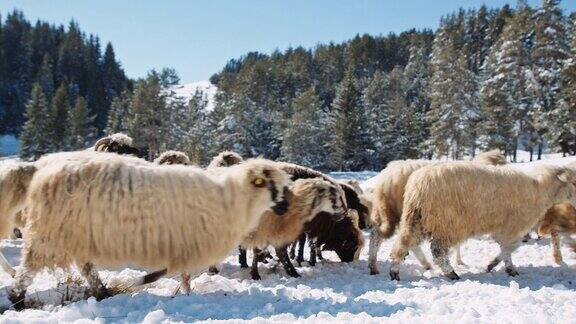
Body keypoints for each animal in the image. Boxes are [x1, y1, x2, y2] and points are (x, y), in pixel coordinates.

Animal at [6, 151, 290, 308]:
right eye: (270, 184)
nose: (286, 207)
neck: (232, 198)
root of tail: (40, 167)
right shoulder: (187, 243)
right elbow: (172, 273)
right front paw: (141, 283)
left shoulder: (183, 244)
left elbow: (174, 273)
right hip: (50, 233)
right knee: (28, 267)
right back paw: (17, 299)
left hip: (76, 233)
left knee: (86, 268)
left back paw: (102, 292)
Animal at [366, 149, 506, 274]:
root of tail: (388, 176)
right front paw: (457, 260)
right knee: (404, 241)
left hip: (388, 213)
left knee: (378, 236)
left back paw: (374, 266)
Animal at [388, 165, 576, 280]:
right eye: (574, 182)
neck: (540, 189)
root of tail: (419, 184)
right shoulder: (513, 227)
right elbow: (509, 248)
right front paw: (506, 268)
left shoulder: (505, 228)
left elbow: (507, 249)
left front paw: (494, 265)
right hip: (447, 223)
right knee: (438, 251)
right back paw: (451, 273)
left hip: (416, 219)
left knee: (404, 243)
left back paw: (395, 271)